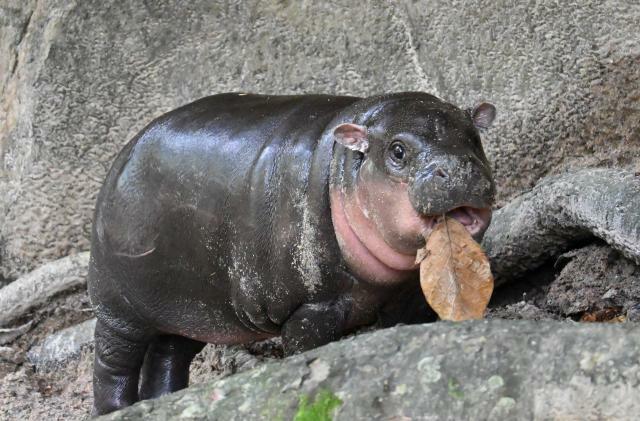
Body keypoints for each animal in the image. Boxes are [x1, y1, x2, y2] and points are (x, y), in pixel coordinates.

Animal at [87, 92, 496, 414]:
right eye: (397, 150)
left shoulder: (403, 295)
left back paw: (164, 400)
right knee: (112, 360)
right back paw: (118, 408)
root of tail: (121, 157)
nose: (459, 168)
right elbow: (304, 347)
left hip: (188, 308)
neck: (344, 165)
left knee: (169, 353)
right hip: (118, 307)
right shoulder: (310, 307)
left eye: (474, 138)